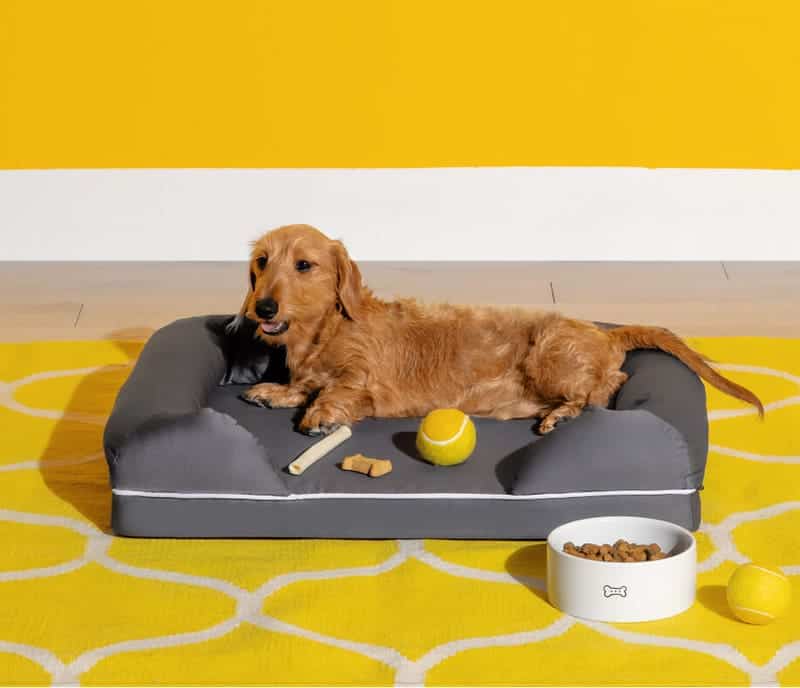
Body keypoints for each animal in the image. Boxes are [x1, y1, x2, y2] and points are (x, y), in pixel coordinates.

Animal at [231, 224, 764, 436]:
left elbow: (337, 390)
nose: (263, 307)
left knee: (605, 387)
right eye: (262, 262)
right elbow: (300, 386)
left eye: (304, 264)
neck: (322, 333)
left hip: (550, 356)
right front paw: (273, 391)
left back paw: (565, 413)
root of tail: (606, 335)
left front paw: (320, 413)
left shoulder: (365, 381)